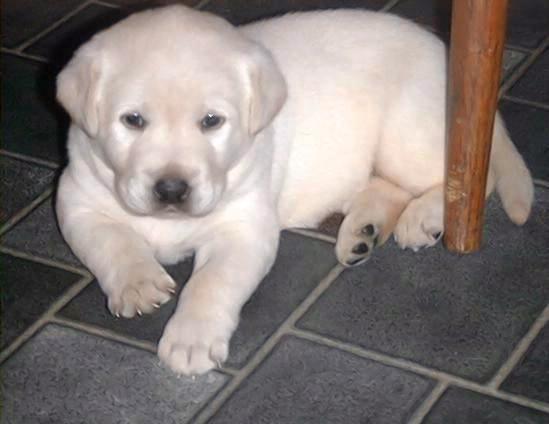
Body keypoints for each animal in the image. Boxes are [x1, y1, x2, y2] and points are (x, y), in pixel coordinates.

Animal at [55, 4, 532, 374]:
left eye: (212, 121)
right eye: (132, 120)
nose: (172, 189)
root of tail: (445, 51)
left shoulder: (245, 228)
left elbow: (212, 282)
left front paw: (191, 341)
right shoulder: (76, 196)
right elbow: (111, 241)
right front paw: (138, 284)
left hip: (407, 133)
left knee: (469, 175)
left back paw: (423, 218)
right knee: (387, 186)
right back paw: (363, 232)